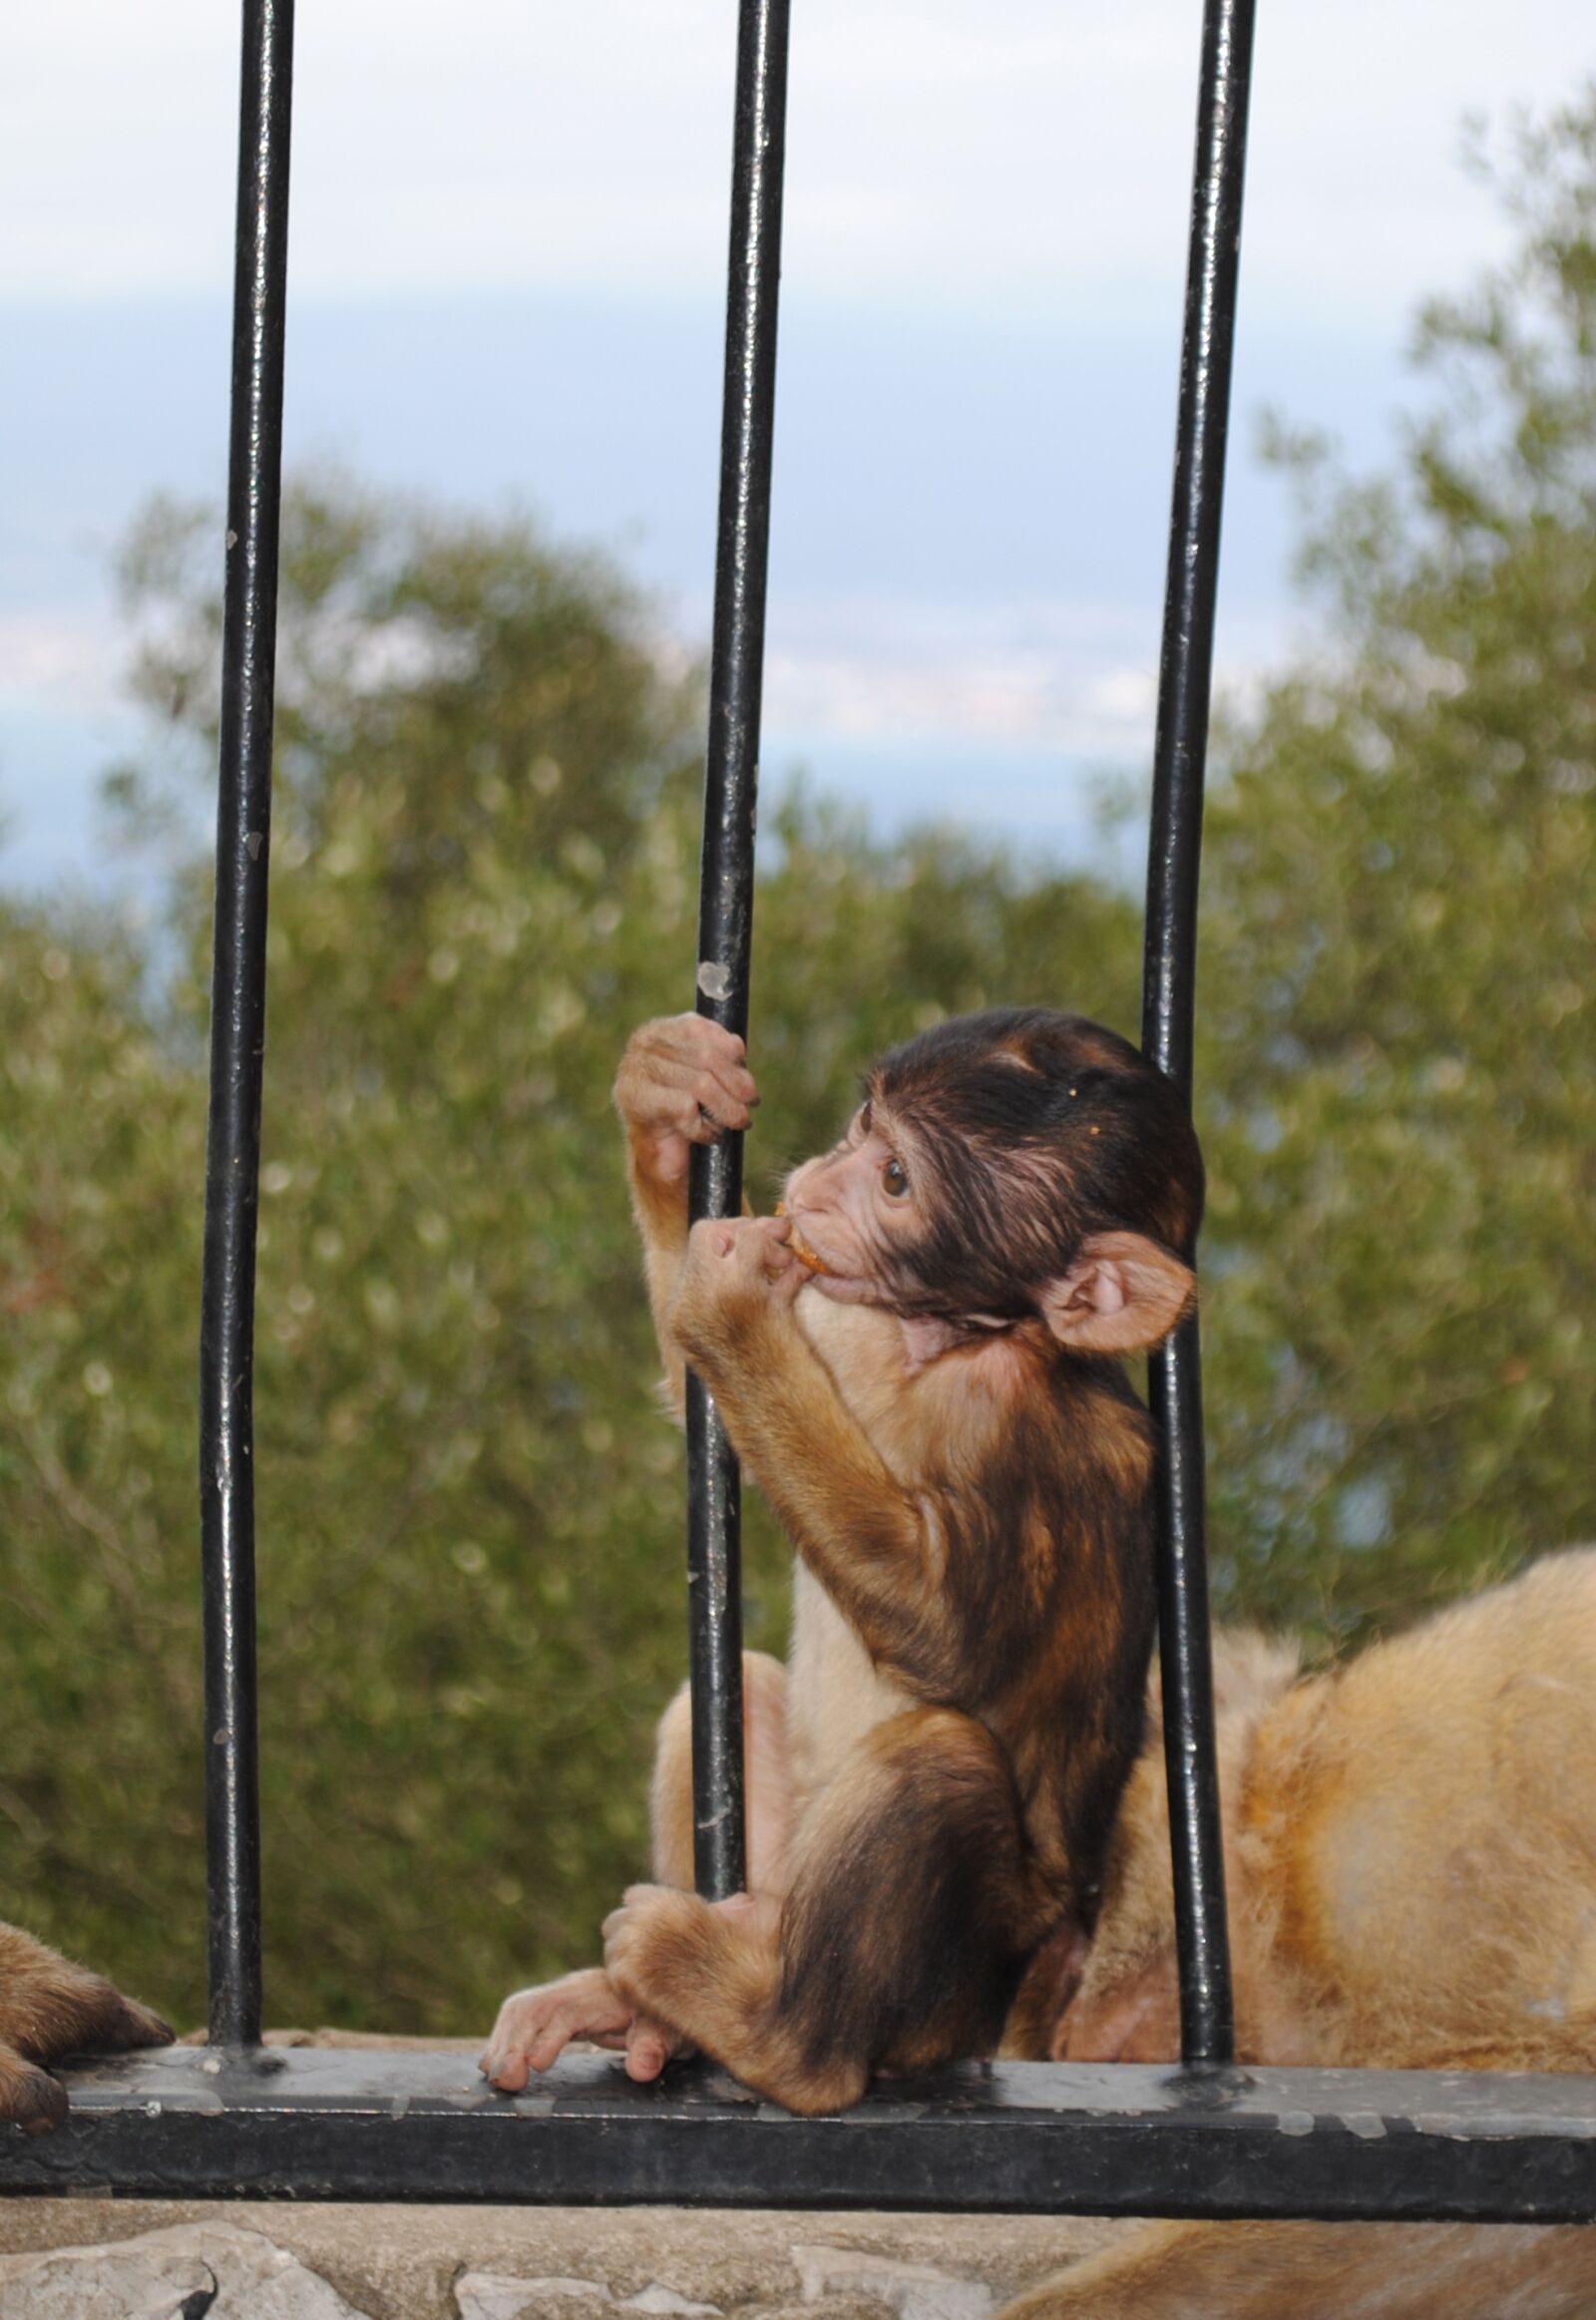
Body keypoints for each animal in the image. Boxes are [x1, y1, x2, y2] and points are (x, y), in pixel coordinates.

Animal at [483, 1004, 1204, 2113]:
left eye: (896, 1177)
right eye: (865, 1125)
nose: (819, 1180)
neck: (946, 1340)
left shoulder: (1029, 1440)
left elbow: (944, 1637)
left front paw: (730, 1307)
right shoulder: (848, 1320)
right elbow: (711, 1424)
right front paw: (667, 1095)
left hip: (942, 2001)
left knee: (937, 1763)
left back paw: (768, 2032)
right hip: (781, 1885)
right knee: (730, 1695)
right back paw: (648, 2013)